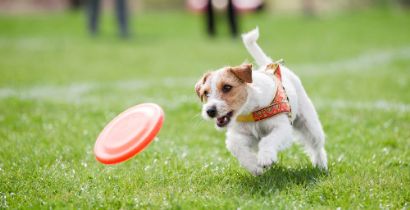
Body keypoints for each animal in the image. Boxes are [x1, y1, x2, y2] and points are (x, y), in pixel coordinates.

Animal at [195, 27, 326, 176]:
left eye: (227, 87)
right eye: (205, 93)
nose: (210, 111)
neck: (250, 110)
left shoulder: (282, 128)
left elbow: (268, 140)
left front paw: (266, 158)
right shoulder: (239, 135)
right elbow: (236, 147)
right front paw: (254, 166)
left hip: (309, 124)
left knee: (317, 146)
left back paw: (321, 165)